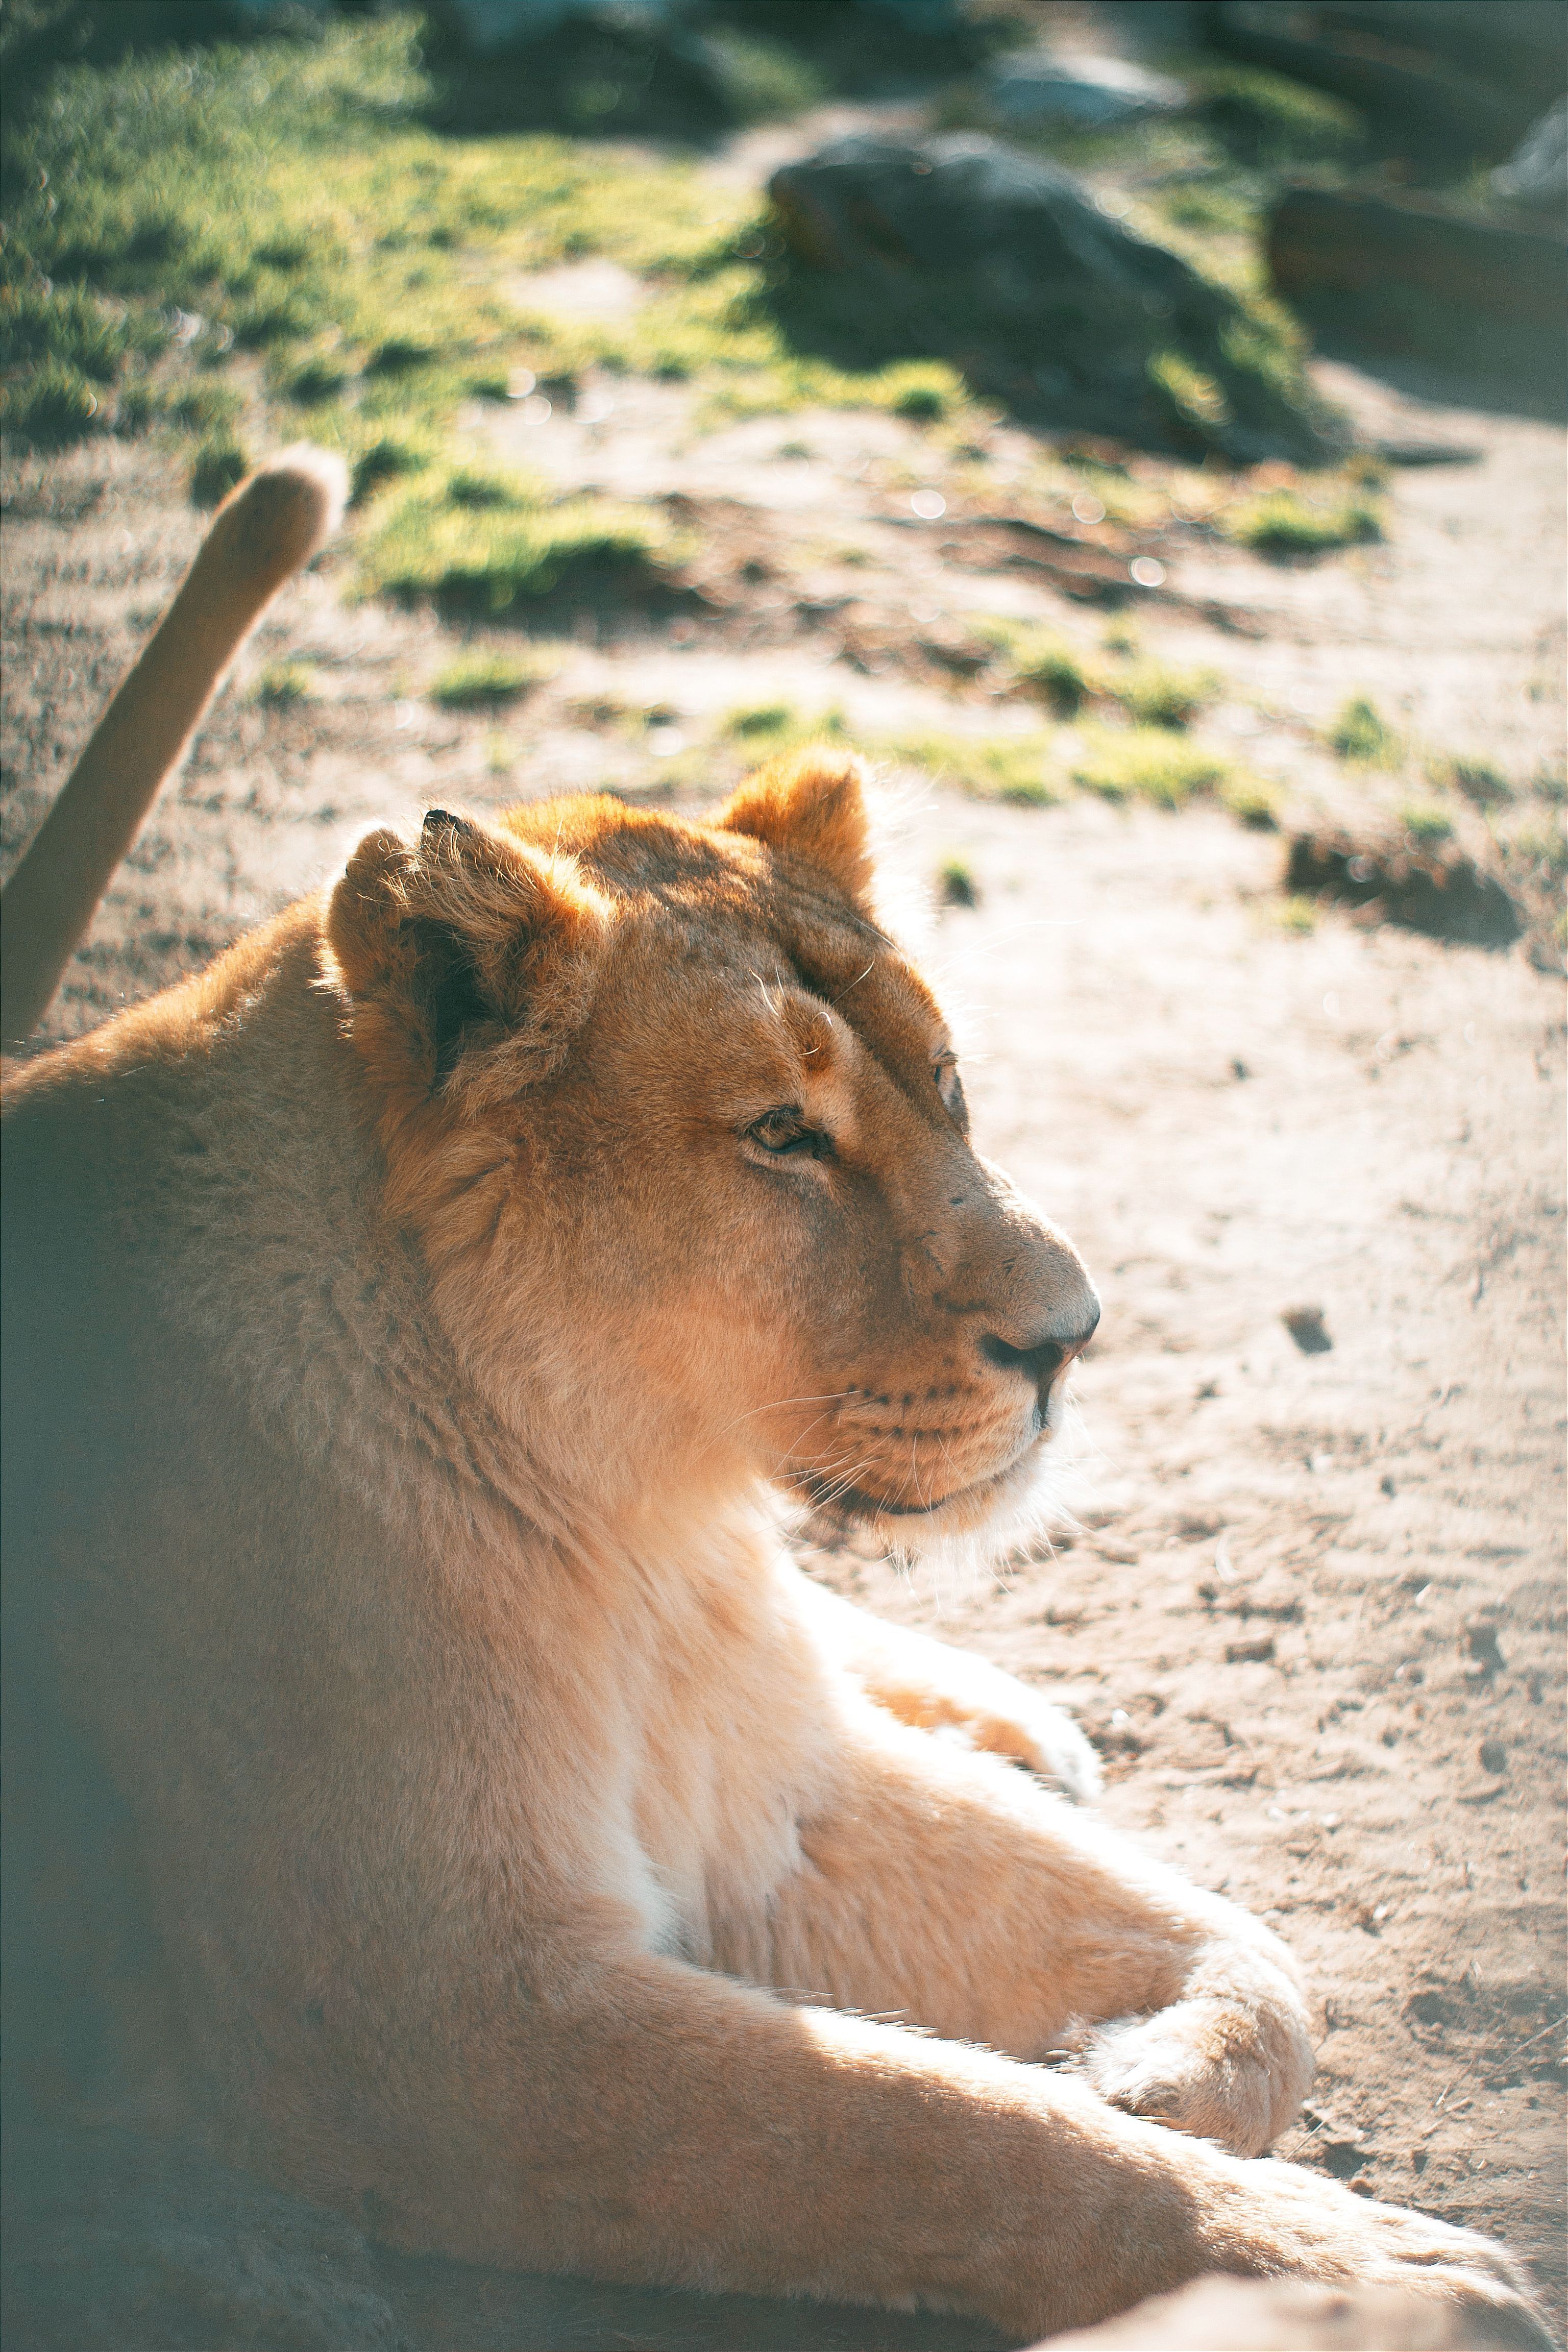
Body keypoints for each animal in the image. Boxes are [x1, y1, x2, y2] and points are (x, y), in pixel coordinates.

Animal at [0, 456, 1546, 2351]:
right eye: (783, 1134)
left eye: (949, 1085)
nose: (1075, 1334)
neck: (635, 1530)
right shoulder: (441, 2027)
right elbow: (938, 2132)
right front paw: (1367, 2272)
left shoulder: (769, 1796)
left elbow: (1249, 1963)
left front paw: (1146, 2066)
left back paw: (1011, 1726)